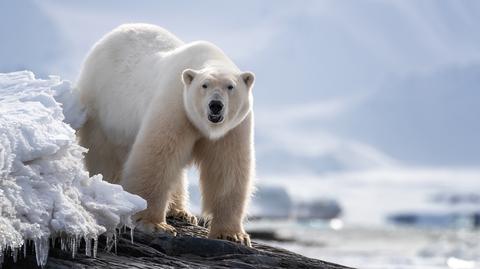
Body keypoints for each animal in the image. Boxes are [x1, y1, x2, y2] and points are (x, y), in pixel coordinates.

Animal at [77, 23, 255, 245]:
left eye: (230, 86)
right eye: (204, 85)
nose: (215, 105)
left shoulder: (233, 129)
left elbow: (228, 169)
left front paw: (233, 235)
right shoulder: (175, 105)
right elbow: (156, 157)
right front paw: (154, 224)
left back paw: (181, 212)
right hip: (103, 110)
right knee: (105, 157)